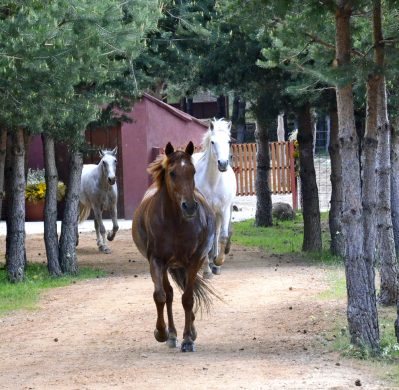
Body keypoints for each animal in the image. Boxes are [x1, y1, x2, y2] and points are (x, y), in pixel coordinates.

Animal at [133, 142, 217, 352]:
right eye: (172, 173)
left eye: (193, 171)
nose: (190, 207)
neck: (175, 223)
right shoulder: (157, 261)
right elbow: (160, 295)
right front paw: (162, 332)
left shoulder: (194, 260)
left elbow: (188, 298)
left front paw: (188, 338)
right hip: (168, 265)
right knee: (169, 294)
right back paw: (171, 334)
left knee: (187, 292)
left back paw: (190, 331)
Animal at [194, 117, 238, 276]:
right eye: (212, 142)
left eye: (229, 141)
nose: (223, 164)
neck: (212, 182)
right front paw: (206, 270)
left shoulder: (224, 210)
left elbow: (223, 236)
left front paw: (218, 262)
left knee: (217, 233)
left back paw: (214, 261)